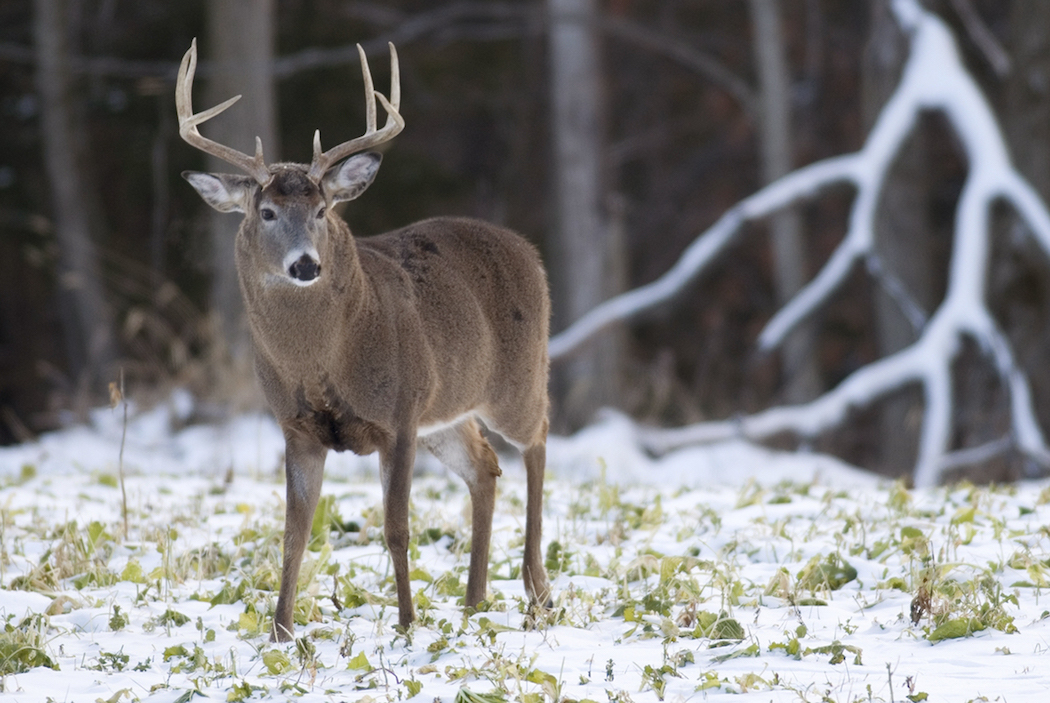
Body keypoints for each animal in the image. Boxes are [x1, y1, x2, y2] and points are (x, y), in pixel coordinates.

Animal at [176, 39, 554, 646]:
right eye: (266, 211)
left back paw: (537, 591)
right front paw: (281, 633)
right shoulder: (298, 427)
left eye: (323, 209)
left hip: (514, 380)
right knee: (485, 465)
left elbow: (397, 527)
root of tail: (527, 249)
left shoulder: (397, 416)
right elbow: (293, 534)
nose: (306, 264)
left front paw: (406, 624)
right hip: (442, 412)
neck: (324, 359)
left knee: (537, 439)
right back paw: (474, 602)